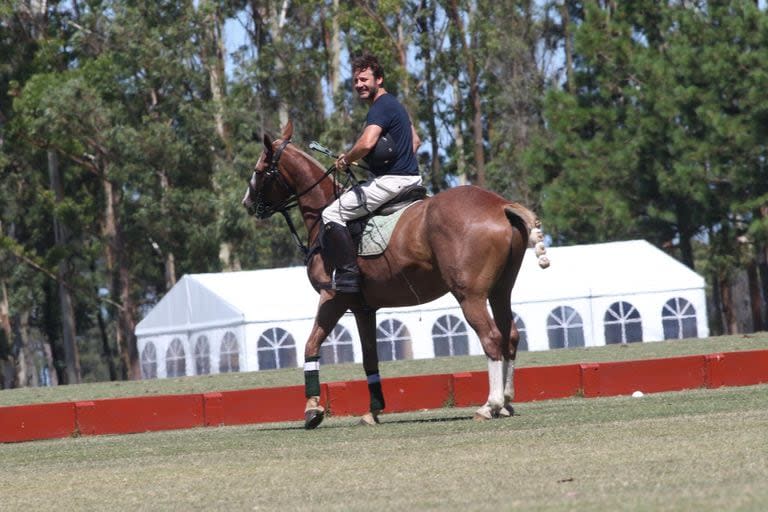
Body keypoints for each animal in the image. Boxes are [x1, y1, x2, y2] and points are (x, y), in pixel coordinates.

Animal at [243, 121, 548, 428]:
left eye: (259, 170)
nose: (247, 204)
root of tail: (500, 205)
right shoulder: (363, 308)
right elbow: (369, 358)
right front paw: (373, 410)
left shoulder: (333, 296)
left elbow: (310, 345)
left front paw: (312, 410)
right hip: (500, 290)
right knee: (511, 335)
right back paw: (506, 402)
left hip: (469, 295)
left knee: (492, 338)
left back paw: (490, 404)